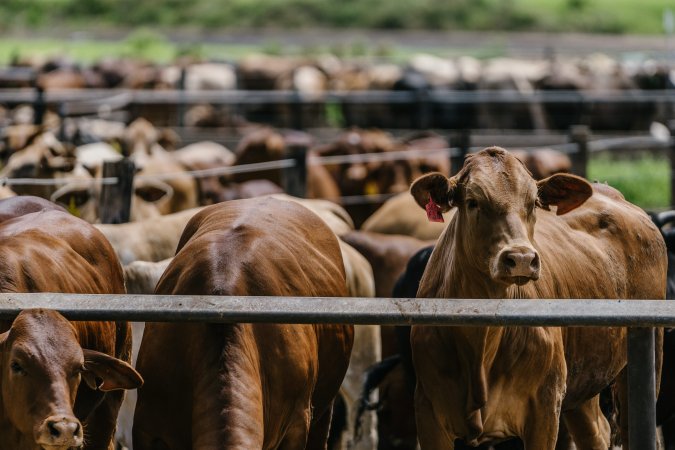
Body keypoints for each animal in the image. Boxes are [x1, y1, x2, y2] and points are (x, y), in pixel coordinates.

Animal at [410, 147, 668, 446]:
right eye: (473, 202)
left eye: (533, 202)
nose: (521, 258)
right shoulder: (428, 413)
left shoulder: (545, 409)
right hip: (582, 387)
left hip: (647, 359)